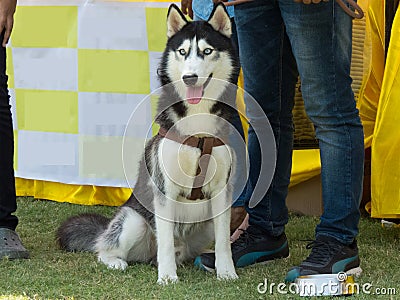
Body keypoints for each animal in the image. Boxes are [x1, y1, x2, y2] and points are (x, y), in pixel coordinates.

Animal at [56, 3, 241, 284]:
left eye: (207, 51)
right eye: (182, 52)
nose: (189, 77)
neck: (197, 126)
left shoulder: (221, 192)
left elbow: (223, 242)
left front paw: (227, 273)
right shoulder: (164, 190)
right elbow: (164, 241)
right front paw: (167, 278)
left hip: (205, 226)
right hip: (132, 221)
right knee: (106, 248)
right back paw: (118, 262)